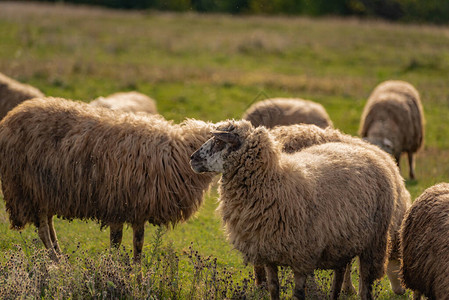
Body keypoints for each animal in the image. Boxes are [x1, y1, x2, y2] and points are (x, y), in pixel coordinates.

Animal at [0, 97, 215, 262]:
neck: (176, 152)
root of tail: (11, 115)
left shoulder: (137, 208)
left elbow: (138, 243)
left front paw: (137, 276)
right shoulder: (118, 204)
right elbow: (117, 241)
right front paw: (113, 268)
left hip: (45, 190)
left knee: (48, 225)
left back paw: (60, 256)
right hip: (27, 187)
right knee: (43, 228)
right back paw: (57, 262)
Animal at [191, 119, 394, 300]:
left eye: (218, 142)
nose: (192, 158)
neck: (273, 182)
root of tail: (363, 150)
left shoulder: (302, 256)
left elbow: (297, 294)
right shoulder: (267, 251)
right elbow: (273, 289)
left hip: (374, 241)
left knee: (366, 283)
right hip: (341, 241)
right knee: (339, 276)